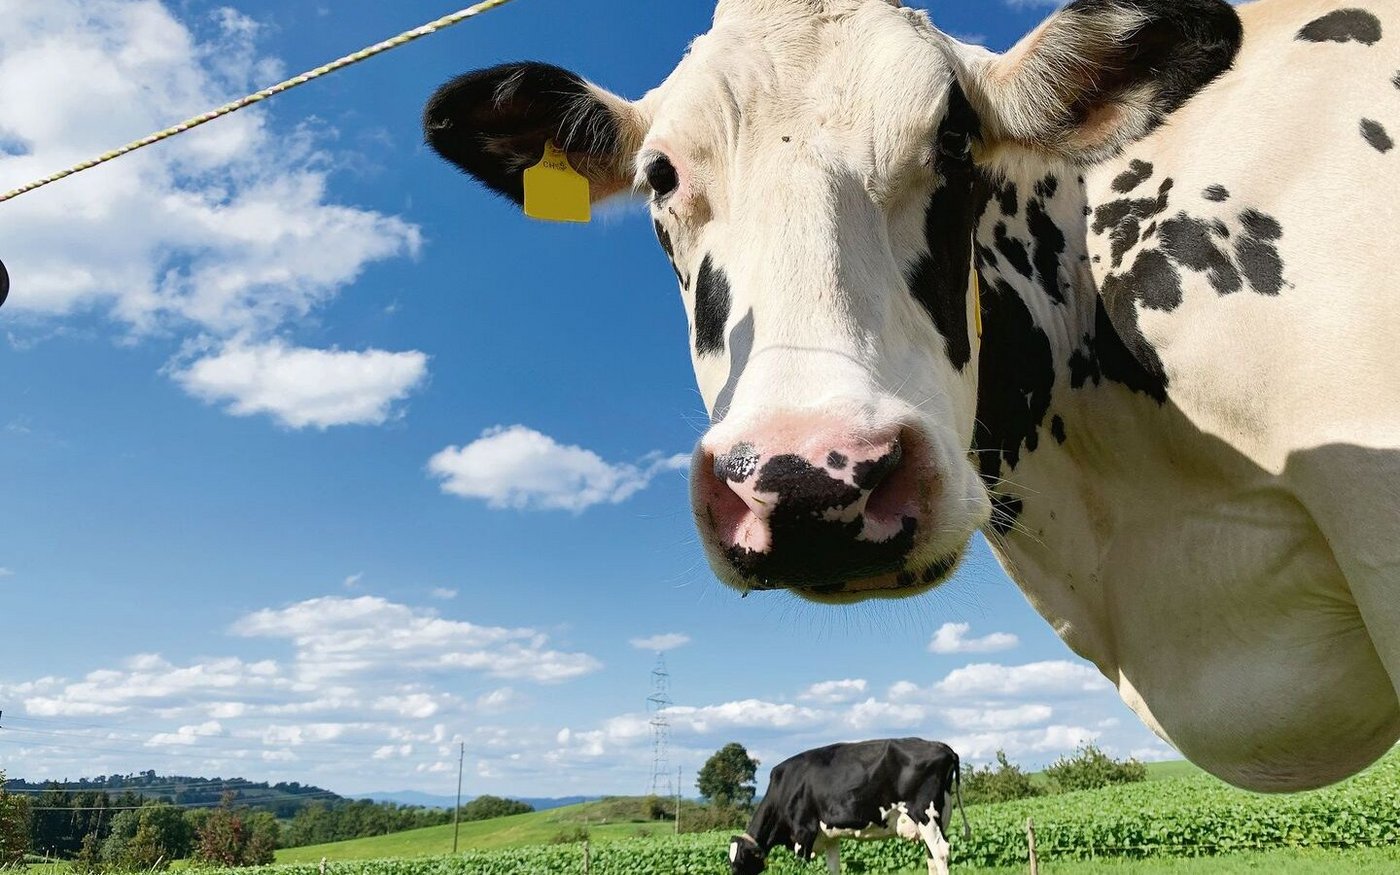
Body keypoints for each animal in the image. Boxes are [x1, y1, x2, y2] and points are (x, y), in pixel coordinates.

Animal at [728, 738, 968, 875]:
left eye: (739, 863)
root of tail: (943, 747)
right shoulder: (829, 837)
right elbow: (833, 867)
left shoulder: (803, 834)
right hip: (936, 818)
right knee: (932, 857)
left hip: (925, 814)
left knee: (941, 852)